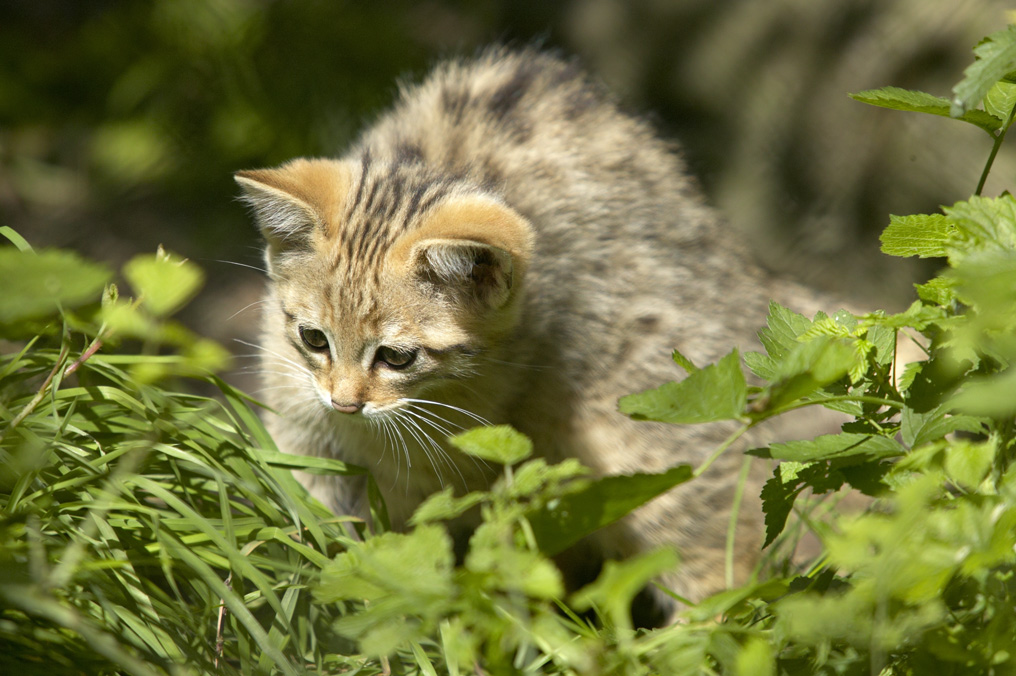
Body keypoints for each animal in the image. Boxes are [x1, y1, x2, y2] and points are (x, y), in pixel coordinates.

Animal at [235, 47, 792, 626]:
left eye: (397, 357)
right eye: (314, 340)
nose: (344, 403)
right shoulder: (301, 426)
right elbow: (319, 525)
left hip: (643, 434)